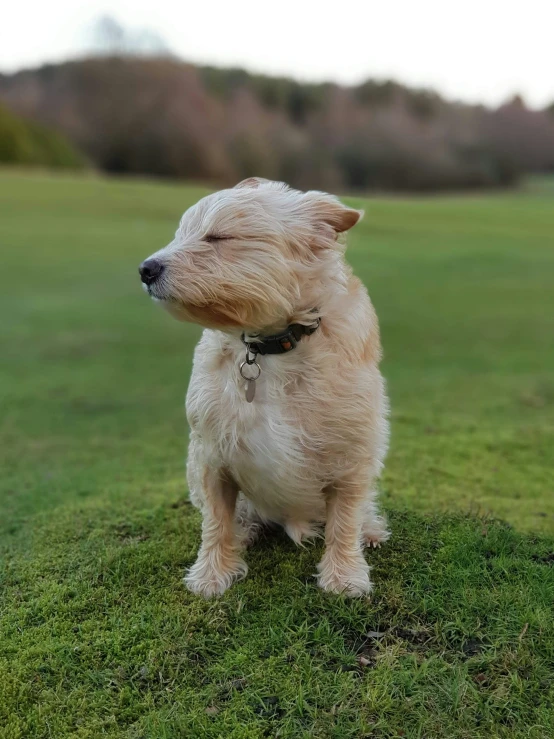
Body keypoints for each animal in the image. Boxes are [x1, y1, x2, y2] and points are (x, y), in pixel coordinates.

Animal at [138, 181, 388, 600]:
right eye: (181, 233)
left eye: (219, 237)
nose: (145, 269)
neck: (270, 348)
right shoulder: (212, 454)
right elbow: (216, 521)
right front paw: (212, 574)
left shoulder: (351, 456)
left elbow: (344, 519)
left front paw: (344, 575)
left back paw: (370, 531)